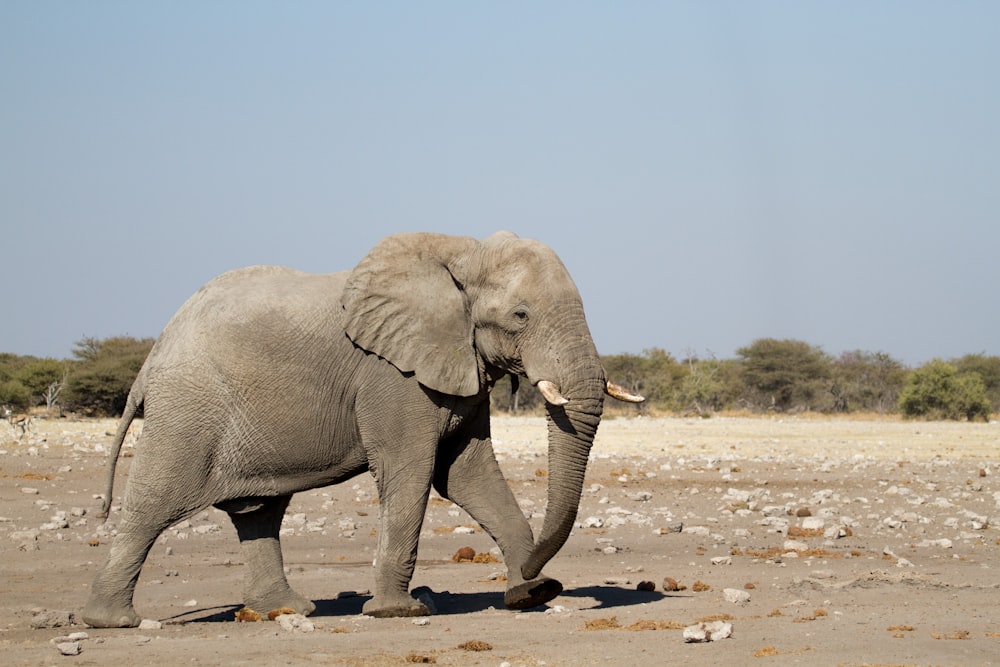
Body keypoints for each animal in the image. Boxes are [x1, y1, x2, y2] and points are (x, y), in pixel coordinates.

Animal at [78, 228, 640, 628]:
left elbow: (467, 474)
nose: (536, 574)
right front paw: (399, 612)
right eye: (521, 315)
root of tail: (154, 354)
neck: (461, 253)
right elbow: (411, 472)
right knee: (154, 503)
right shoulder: (392, 376)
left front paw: (532, 593)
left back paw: (286, 610)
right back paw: (110, 621)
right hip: (189, 407)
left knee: (259, 513)